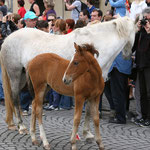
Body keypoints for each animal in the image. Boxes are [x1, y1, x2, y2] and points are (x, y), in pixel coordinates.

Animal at [0, 16, 135, 144]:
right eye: (135, 32)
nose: (128, 56)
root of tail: (7, 38)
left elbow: (89, 110)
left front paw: (87, 133)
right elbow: (88, 110)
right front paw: (84, 133)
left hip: (26, 79)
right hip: (15, 76)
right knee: (15, 98)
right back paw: (22, 126)